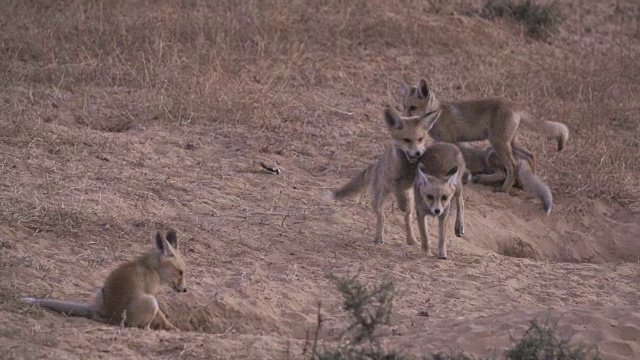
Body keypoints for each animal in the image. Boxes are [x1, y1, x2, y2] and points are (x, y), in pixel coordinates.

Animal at [22, 229, 186, 330]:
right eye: (180, 272)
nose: (184, 290)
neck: (151, 267)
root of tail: (111, 318)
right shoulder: (151, 293)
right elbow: (162, 316)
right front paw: (172, 327)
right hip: (149, 302)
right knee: (138, 326)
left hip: (99, 291)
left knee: (95, 315)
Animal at [322, 107, 442, 245]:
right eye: (406, 140)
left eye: (420, 139)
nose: (418, 153)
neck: (407, 167)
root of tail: (375, 165)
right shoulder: (392, 181)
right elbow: (398, 191)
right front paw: (401, 203)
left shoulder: (416, 182)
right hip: (377, 200)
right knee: (382, 217)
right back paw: (379, 237)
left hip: (409, 201)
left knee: (407, 218)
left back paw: (411, 239)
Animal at [400, 79, 568, 195]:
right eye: (404, 106)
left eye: (413, 108)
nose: (401, 120)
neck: (437, 116)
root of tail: (514, 104)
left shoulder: (450, 141)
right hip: (510, 143)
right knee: (531, 156)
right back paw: (524, 185)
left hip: (498, 143)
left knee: (512, 166)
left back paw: (504, 189)